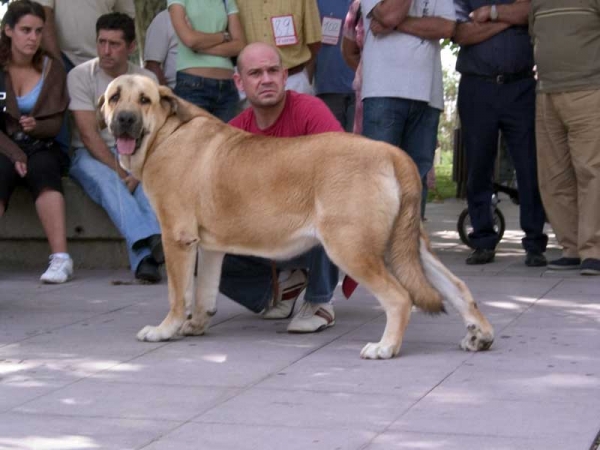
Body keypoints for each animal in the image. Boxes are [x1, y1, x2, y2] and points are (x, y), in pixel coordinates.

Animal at [97, 75, 492, 360]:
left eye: (144, 100)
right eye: (115, 97)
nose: (125, 120)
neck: (165, 133)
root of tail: (393, 153)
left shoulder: (176, 239)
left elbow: (178, 296)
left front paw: (165, 330)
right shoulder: (209, 248)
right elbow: (204, 293)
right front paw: (195, 326)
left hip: (349, 247)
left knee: (398, 297)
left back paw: (386, 347)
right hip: (407, 248)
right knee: (457, 287)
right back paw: (479, 335)